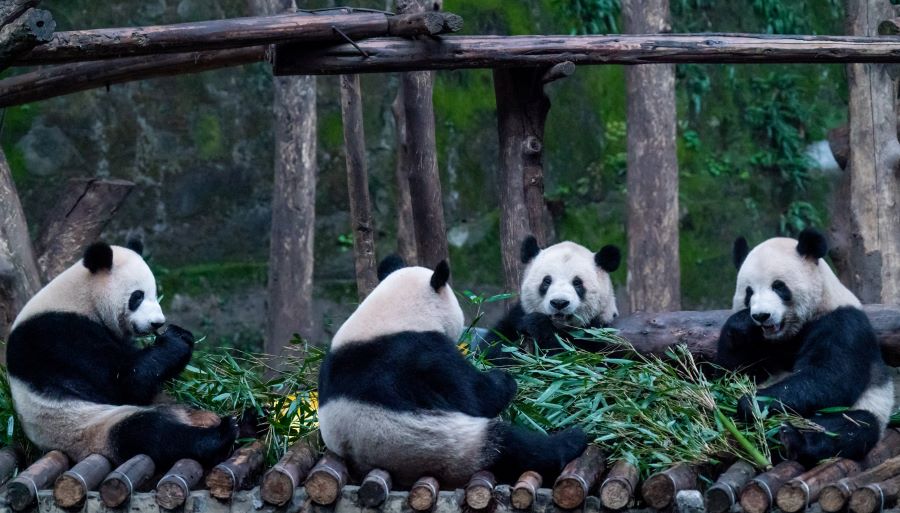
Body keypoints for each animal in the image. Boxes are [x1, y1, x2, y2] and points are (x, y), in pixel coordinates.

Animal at [5, 240, 237, 468]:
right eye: (138, 296)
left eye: (155, 293)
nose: (157, 323)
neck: (81, 298)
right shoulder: (60, 336)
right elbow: (125, 381)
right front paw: (177, 338)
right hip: (85, 426)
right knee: (148, 433)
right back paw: (222, 434)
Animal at [318, 254, 592, 486]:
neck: (391, 313)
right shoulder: (423, 354)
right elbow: (475, 397)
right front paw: (503, 379)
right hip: (446, 446)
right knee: (514, 448)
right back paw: (572, 438)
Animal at [486, 234, 620, 358]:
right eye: (547, 281)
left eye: (577, 283)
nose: (559, 303)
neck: (558, 327)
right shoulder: (515, 318)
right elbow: (496, 347)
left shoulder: (600, 333)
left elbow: (573, 355)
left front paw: (538, 325)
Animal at [716, 228, 892, 464]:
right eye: (749, 292)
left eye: (778, 286)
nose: (761, 316)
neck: (788, 332)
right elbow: (729, 373)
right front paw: (742, 324)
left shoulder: (843, 324)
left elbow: (829, 378)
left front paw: (751, 403)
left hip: (870, 407)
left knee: (849, 426)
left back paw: (793, 439)